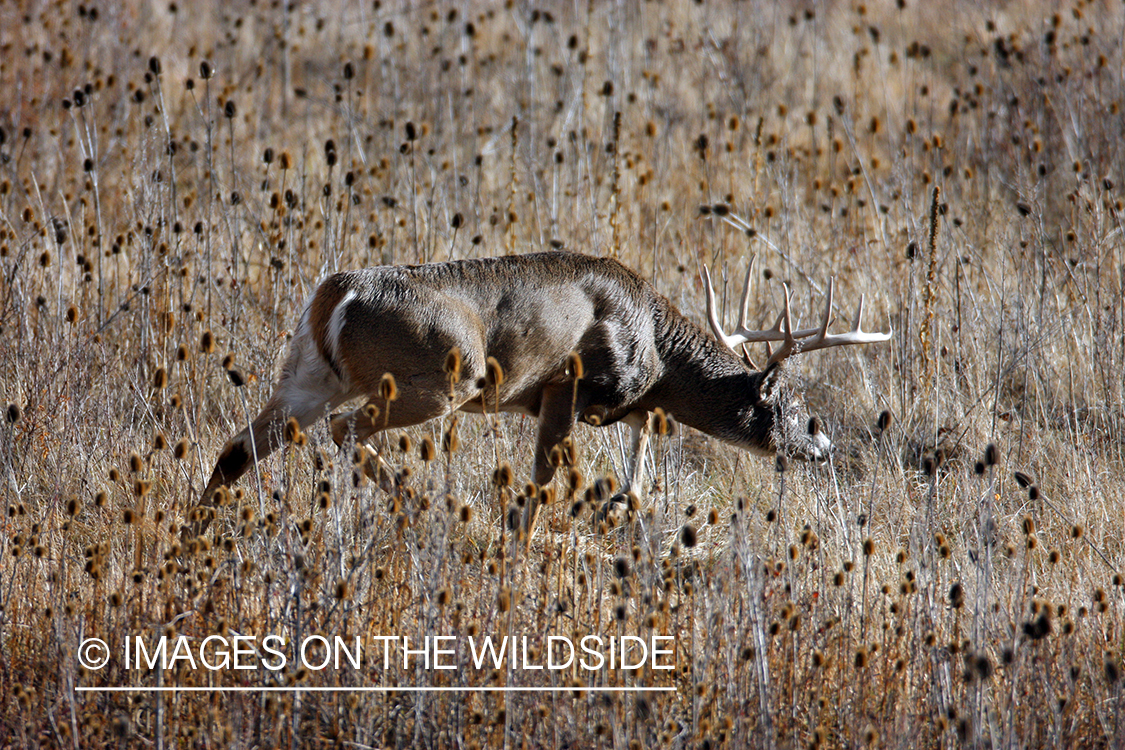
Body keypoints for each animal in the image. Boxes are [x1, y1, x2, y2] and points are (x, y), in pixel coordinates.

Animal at [198, 251, 891, 532]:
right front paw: (520, 543)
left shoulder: (620, 407)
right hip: (443, 377)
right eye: (790, 407)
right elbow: (543, 482)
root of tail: (337, 295)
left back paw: (194, 533)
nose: (825, 445)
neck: (656, 349)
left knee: (237, 449)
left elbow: (634, 474)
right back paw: (426, 507)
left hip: (306, 373)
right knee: (342, 430)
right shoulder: (569, 385)